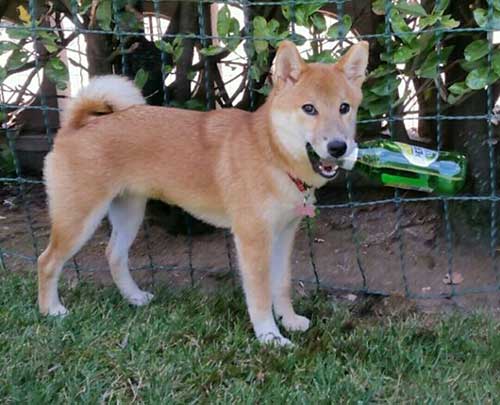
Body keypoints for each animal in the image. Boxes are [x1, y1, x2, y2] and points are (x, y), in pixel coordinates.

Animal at [38, 40, 368, 346]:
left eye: (344, 108)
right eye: (309, 109)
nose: (338, 147)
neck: (272, 153)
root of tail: (77, 125)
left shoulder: (284, 234)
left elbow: (281, 284)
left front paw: (289, 320)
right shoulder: (253, 239)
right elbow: (260, 295)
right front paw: (269, 337)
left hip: (129, 213)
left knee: (114, 256)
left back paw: (134, 297)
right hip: (78, 220)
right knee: (47, 261)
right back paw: (51, 310)